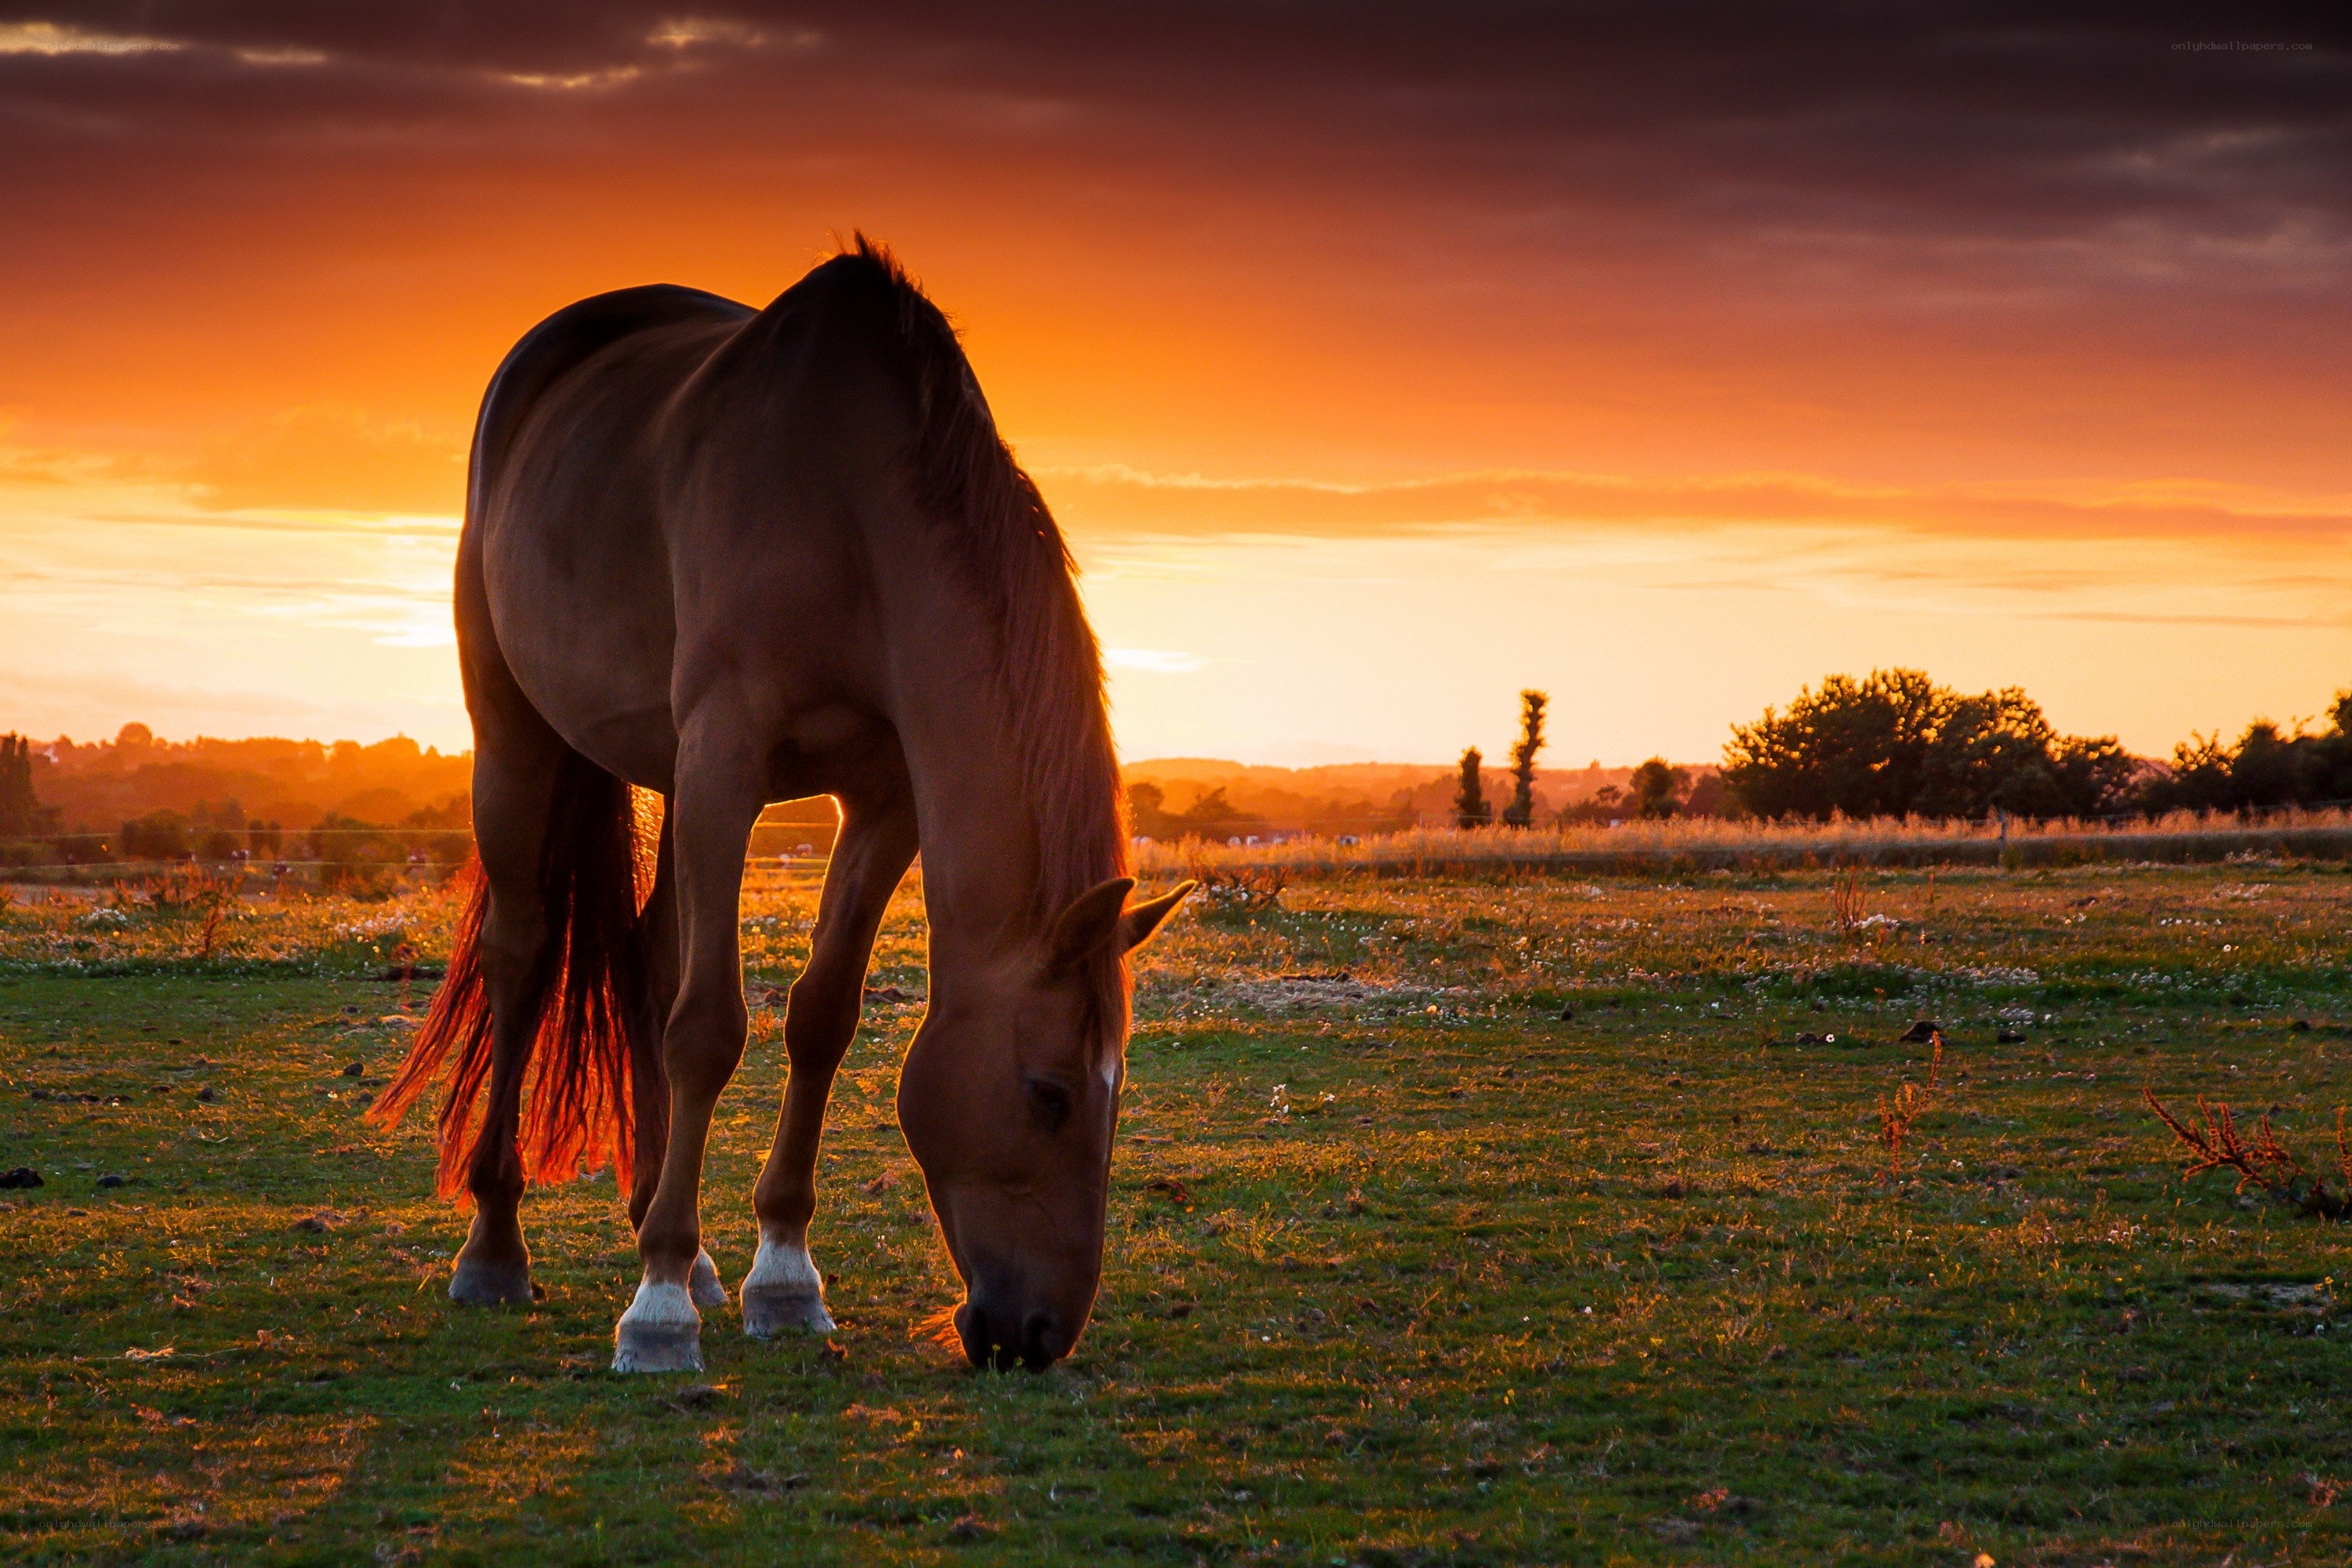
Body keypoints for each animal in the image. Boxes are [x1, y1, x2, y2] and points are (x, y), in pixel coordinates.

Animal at [370, 238, 1191, 1373]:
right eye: (1050, 1094)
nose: (1037, 1334)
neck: (851, 511)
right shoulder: (728, 757)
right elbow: (710, 1025)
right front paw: (658, 1308)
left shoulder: (883, 797)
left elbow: (821, 1016)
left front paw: (782, 1276)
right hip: (519, 734)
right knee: (523, 955)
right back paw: (499, 1250)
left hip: (667, 774)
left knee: (649, 954)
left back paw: (681, 1238)